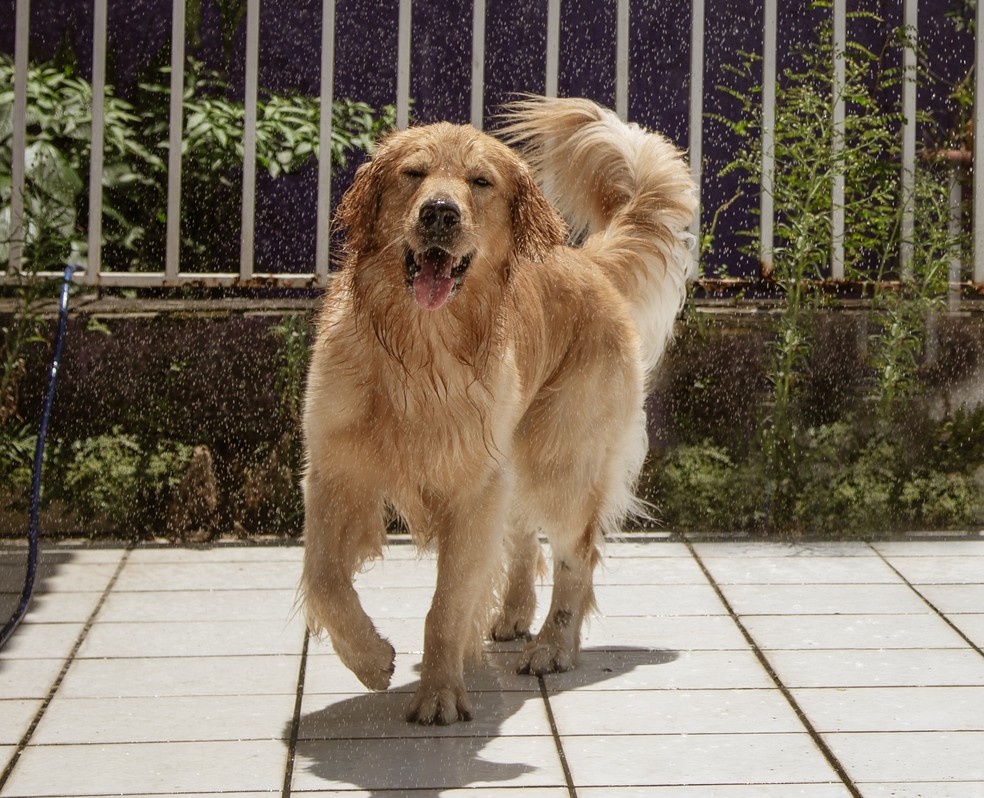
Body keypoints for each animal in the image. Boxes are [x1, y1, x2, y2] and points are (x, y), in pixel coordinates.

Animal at [300, 97, 692, 728]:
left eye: (480, 181)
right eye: (413, 172)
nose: (439, 213)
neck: (420, 348)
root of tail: (589, 263)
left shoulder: (470, 488)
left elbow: (446, 605)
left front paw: (438, 693)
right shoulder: (333, 470)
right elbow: (324, 578)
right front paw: (370, 658)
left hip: (560, 457)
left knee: (577, 556)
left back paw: (553, 646)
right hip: (516, 458)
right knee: (523, 538)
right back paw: (512, 616)